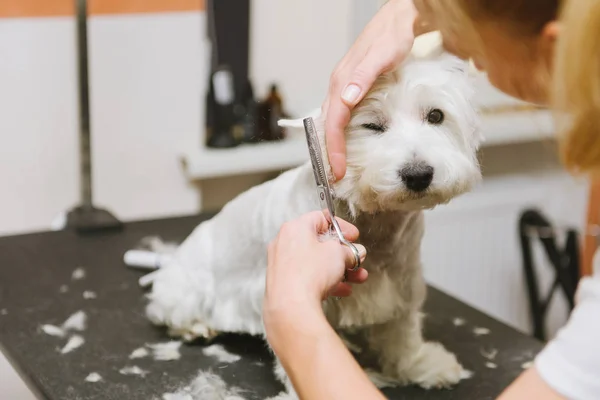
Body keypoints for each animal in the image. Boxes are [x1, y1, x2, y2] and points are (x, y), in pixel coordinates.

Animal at [144, 50, 482, 396]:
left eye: (436, 116)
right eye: (372, 125)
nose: (418, 175)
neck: (376, 225)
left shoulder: (404, 282)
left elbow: (402, 333)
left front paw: (420, 365)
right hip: (186, 287)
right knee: (166, 311)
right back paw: (197, 327)